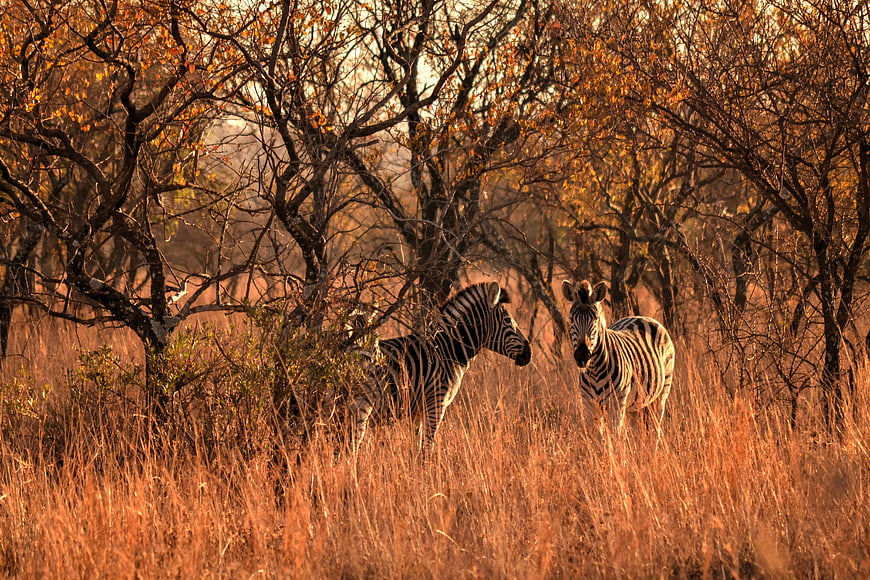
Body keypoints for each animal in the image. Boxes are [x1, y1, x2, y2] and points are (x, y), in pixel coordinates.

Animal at [351, 282, 532, 453]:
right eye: (508, 320)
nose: (529, 354)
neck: (446, 350)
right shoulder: (436, 403)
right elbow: (427, 447)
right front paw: (428, 465)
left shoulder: (417, 411)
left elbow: (416, 446)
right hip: (361, 405)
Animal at [561, 279, 675, 437]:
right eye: (571, 319)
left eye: (595, 319)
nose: (582, 355)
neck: (594, 371)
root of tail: (642, 317)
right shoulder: (589, 404)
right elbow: (596, 438)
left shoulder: (617, 404)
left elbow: (615, 436)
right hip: (635, 404)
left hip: (662, 392)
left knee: (655, 430)